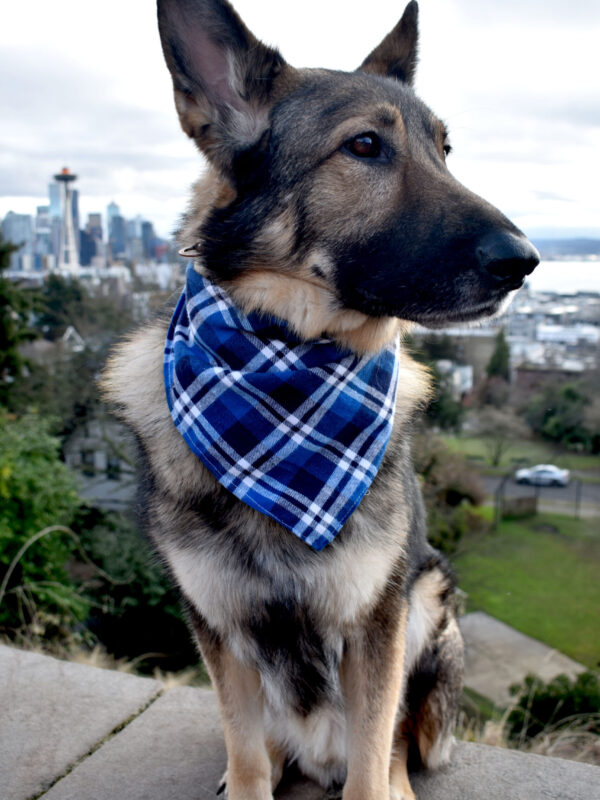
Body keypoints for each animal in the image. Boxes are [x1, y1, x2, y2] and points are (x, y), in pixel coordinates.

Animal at [103, 3, 540, 796]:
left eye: (445, 149)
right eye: (364, 146)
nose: (523, 262)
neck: (289, 367)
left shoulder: (376, 623)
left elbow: (374, 751)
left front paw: (379, 781)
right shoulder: (217, 625)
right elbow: (245, 751)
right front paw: (246, 776)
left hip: (429, 604)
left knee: (394, 739)